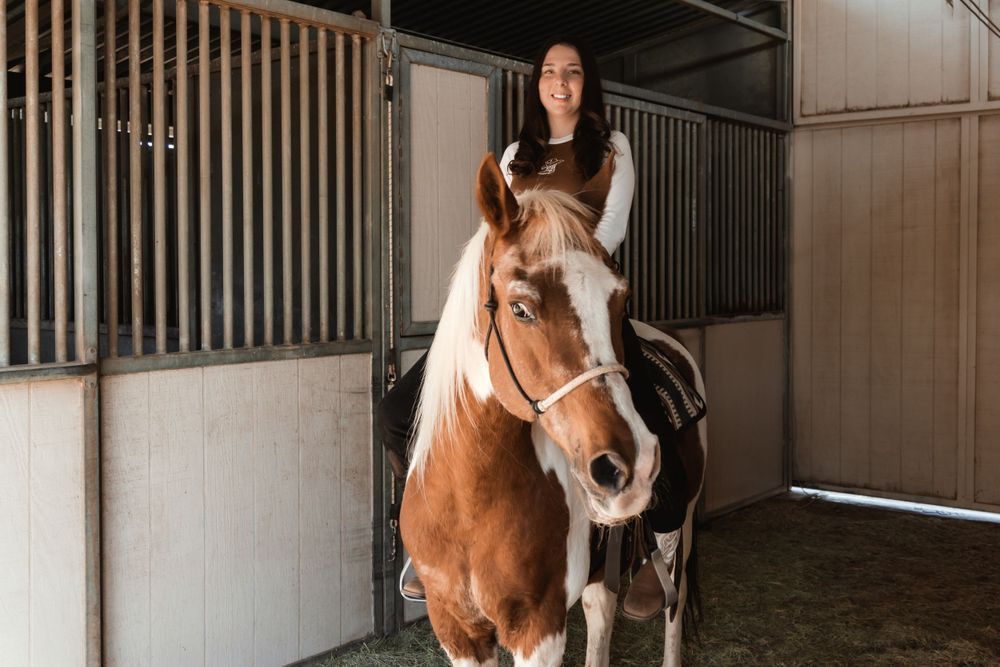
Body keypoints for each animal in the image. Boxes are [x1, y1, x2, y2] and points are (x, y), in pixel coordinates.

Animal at [399, 153, 707, 667]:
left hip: (682, 525)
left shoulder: (538, 628)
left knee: (674, 602)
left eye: (620, 298)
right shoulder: (457, 630)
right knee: (602, 611)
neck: (470, 499)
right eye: (521, 308)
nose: (626, 466)